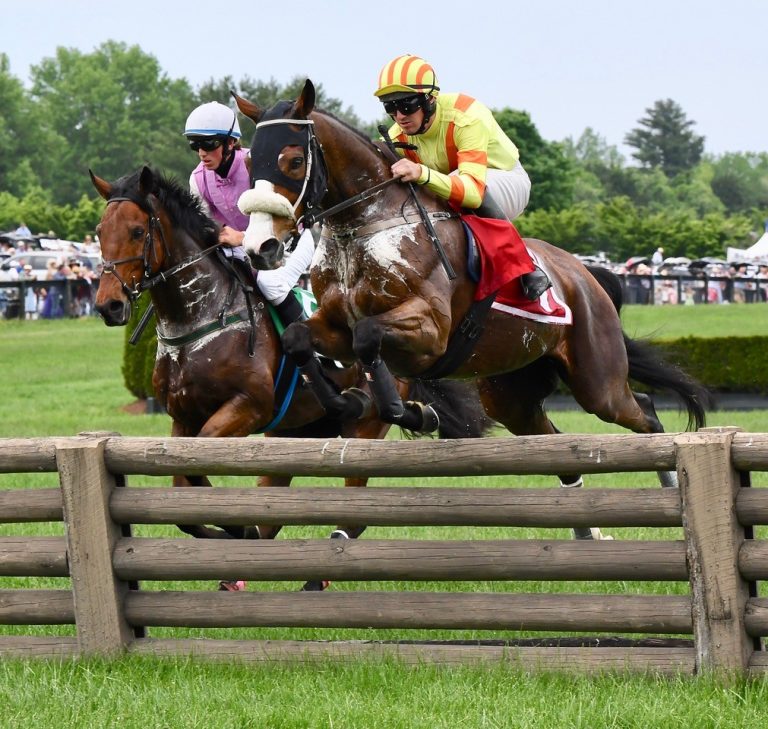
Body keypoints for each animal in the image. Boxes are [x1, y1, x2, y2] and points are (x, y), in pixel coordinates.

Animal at [88, 165, 486, 584]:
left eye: (137, 231)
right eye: (99, 231)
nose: (109, 306)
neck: (201, 317)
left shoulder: (248, 406)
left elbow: (197, 472)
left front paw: (237, 530)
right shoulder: (183, 418)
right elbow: (186, 498)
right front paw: (233, 533)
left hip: (365, 428)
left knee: (356, 511)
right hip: (297, 429)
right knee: (274, 510)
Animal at [232, 81, 708, 506]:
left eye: (294, 160)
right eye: (251, 162)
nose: (260, 248)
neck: (365, 226)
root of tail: (586, 276)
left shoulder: (429, 331)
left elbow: (369, 337)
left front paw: (409, 410)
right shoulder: (333, 327)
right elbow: (300, 339)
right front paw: (346, 402)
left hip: (598, 379)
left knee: (644, 412)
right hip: (512, 392)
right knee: (557, 448)